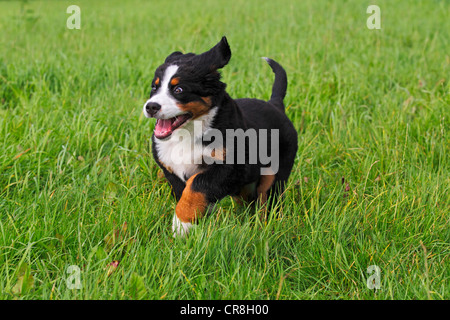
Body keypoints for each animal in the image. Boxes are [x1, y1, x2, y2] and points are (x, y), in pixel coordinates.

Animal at [144, 38, 298, 238]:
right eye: (154, 87)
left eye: (178, 89)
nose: (151, 106)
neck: (188, 133)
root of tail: (276, 105)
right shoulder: (171, 171)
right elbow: (187, 193)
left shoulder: (232, 167)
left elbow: (196, 185)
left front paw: (181, 223)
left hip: (274, 174)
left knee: (268, 201)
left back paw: (265, 226)